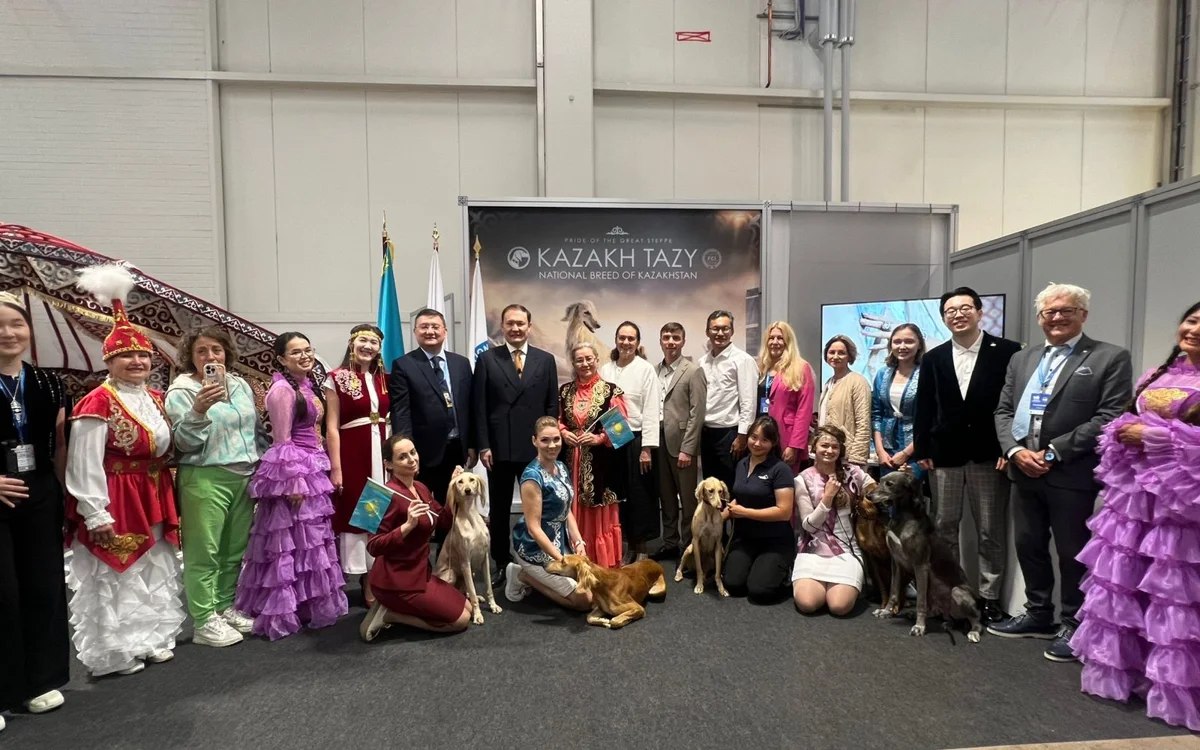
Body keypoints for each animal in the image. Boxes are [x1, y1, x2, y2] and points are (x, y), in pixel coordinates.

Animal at [433, 471, 501, 625]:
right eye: (460, 482)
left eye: (472, 480)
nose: (468, 490)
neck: (471, 516)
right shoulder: (466, 562)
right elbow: (473, 593)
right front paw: (477, 615)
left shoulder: (484, 559)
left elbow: (489, 587)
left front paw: (493, 606)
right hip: (451, 573)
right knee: (461, 592)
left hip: (472, 572)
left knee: (465, 592)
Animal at [868, 471, 982, 643]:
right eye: (880, 480)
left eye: (889, 484)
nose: (868, 496)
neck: (903, 516)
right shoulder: (896, 563)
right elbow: (894, 592)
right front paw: (886, 611)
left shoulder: (920, 565)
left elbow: (920, 601)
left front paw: (919, 627)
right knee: (941, 614)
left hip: (957, 591)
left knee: (976, 617)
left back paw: (974, 631)